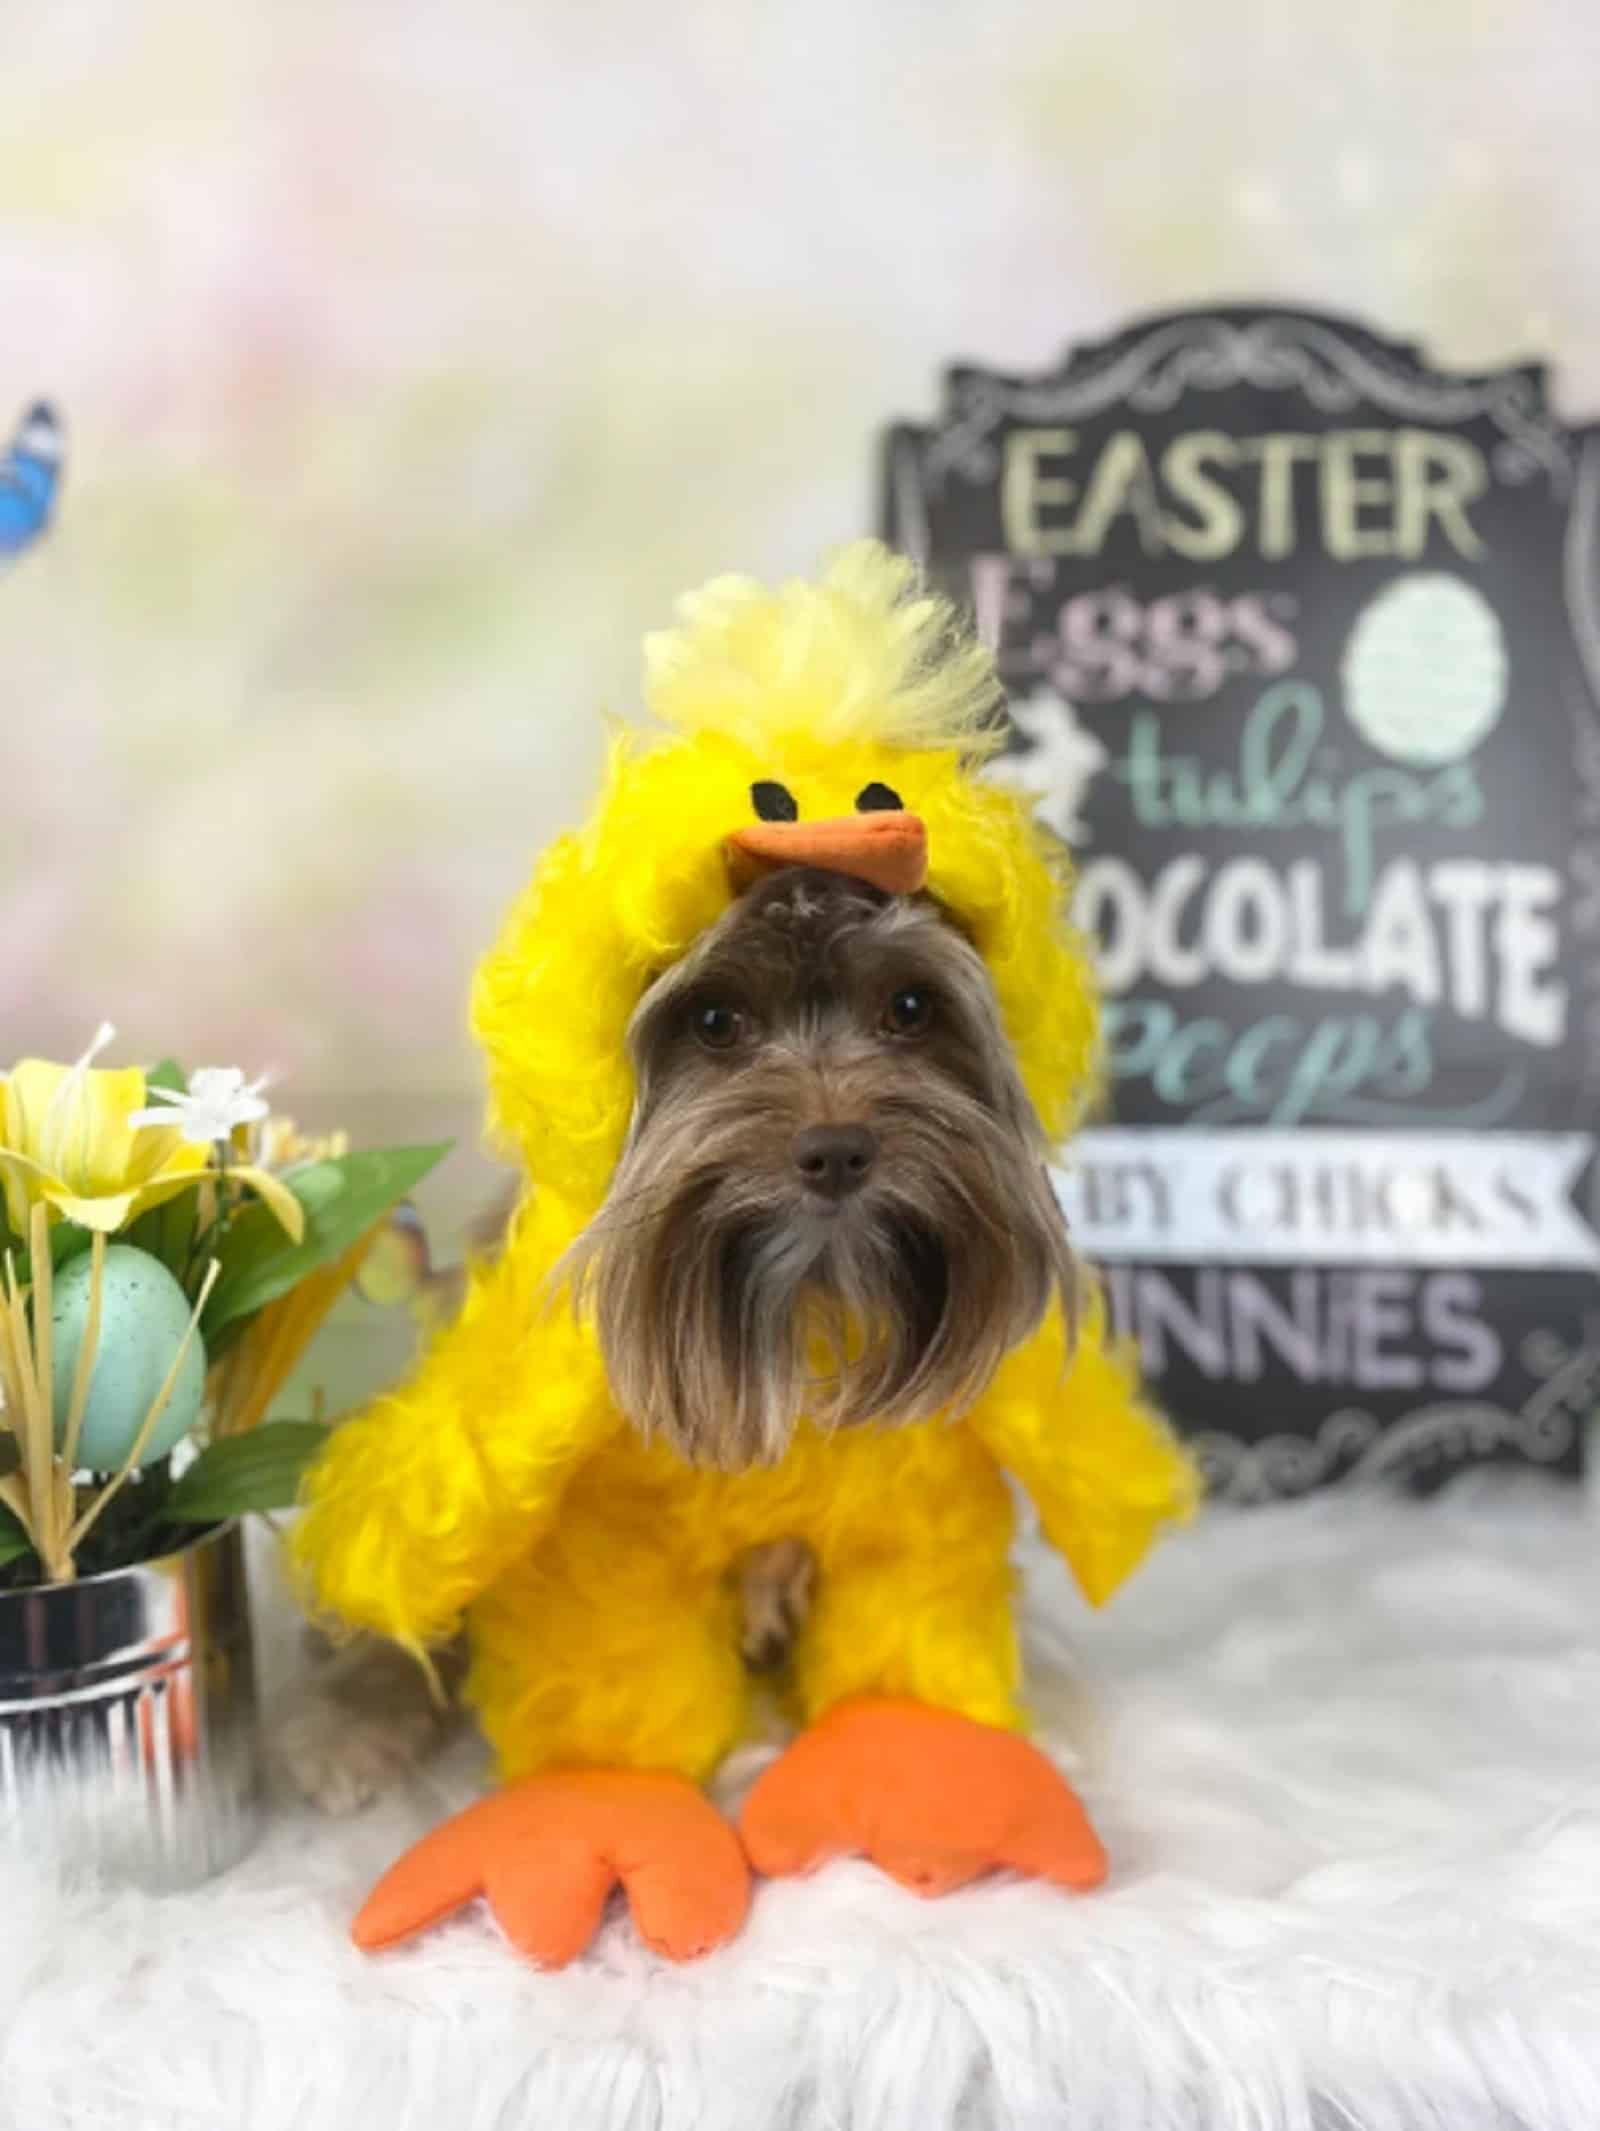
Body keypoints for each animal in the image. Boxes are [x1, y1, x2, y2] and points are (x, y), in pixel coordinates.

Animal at [283, 865, 1082, 1815]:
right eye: (714, 1021)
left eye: (912, 1005)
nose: (837, 1149)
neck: (803, 1311)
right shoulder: (604, 1553)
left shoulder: (910, 1526)